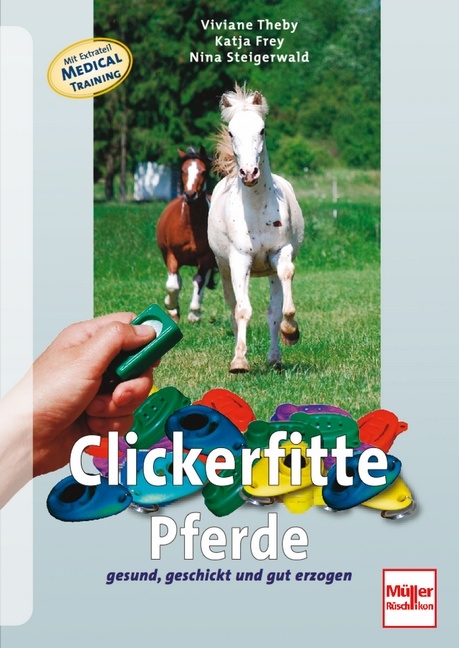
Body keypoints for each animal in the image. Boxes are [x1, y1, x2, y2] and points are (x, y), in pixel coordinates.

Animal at [156, 146, 218, 323]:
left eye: (203, 171)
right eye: (183, 170)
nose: (190, 195)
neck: (190, 226)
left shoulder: (206, 257)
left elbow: (199, 280)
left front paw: (194, 314)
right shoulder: (171, 255)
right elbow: (172, 285)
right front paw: (171, 306)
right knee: (176, 280)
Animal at [208, 84, 304, 373]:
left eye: (262, 130)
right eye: (231, 132)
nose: (249, 173)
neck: (257, 208)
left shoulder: (280, 252)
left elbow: (283, 291)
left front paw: (291, 331)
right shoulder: (240, 260)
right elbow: (242, 310)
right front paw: (239, 362)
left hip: (268, 272)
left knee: (272, 312)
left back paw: (274, 359)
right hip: (225, 270)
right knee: (233, 308)